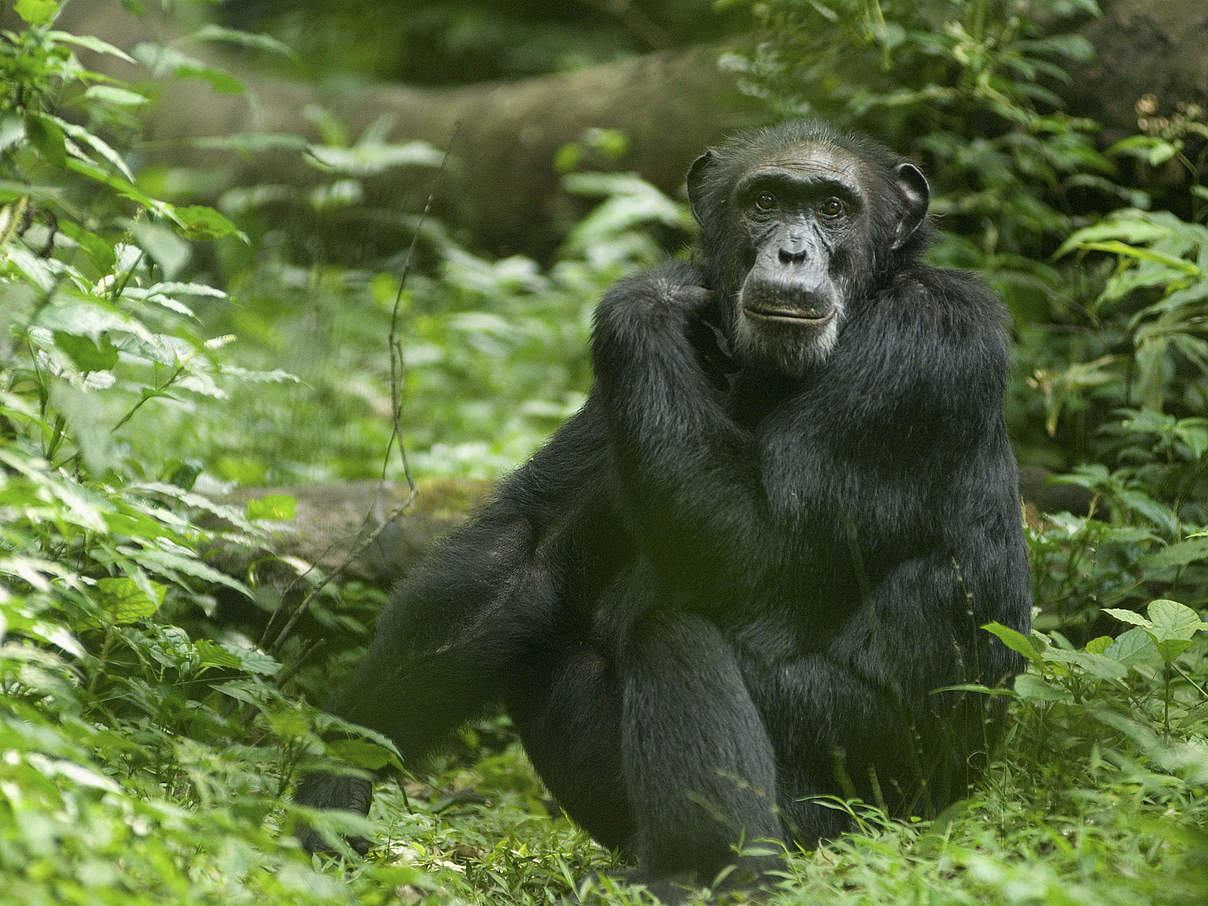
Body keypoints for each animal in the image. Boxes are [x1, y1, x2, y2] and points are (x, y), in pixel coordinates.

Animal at [294, 120, 1029, 903]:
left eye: (834, 208)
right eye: (765, 201)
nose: (791, 251)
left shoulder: (927, 345)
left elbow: (760, 552)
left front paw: (651, 295)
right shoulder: (628, 387)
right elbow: (524, 556)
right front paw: (336, 780)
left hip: (856, 804)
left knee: (672, 635)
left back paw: (700, 872)